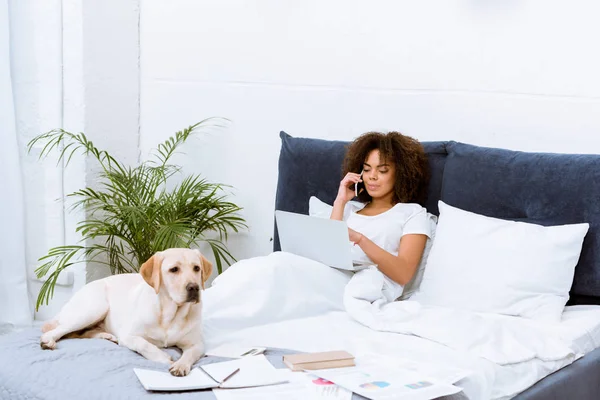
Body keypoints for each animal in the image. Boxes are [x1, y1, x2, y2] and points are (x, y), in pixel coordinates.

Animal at [38, 248, 211, 376]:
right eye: (174, 269)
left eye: (196, 268)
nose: (194, 287)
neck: (170, 314)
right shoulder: (129, 336)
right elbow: (144, 344)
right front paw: (163, 357)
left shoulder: (197, 344)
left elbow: (189, 355)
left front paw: (180, 365)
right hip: (94, 308)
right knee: (59, 330)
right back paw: (48, 341)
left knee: (79, 334)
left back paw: (107, 336)